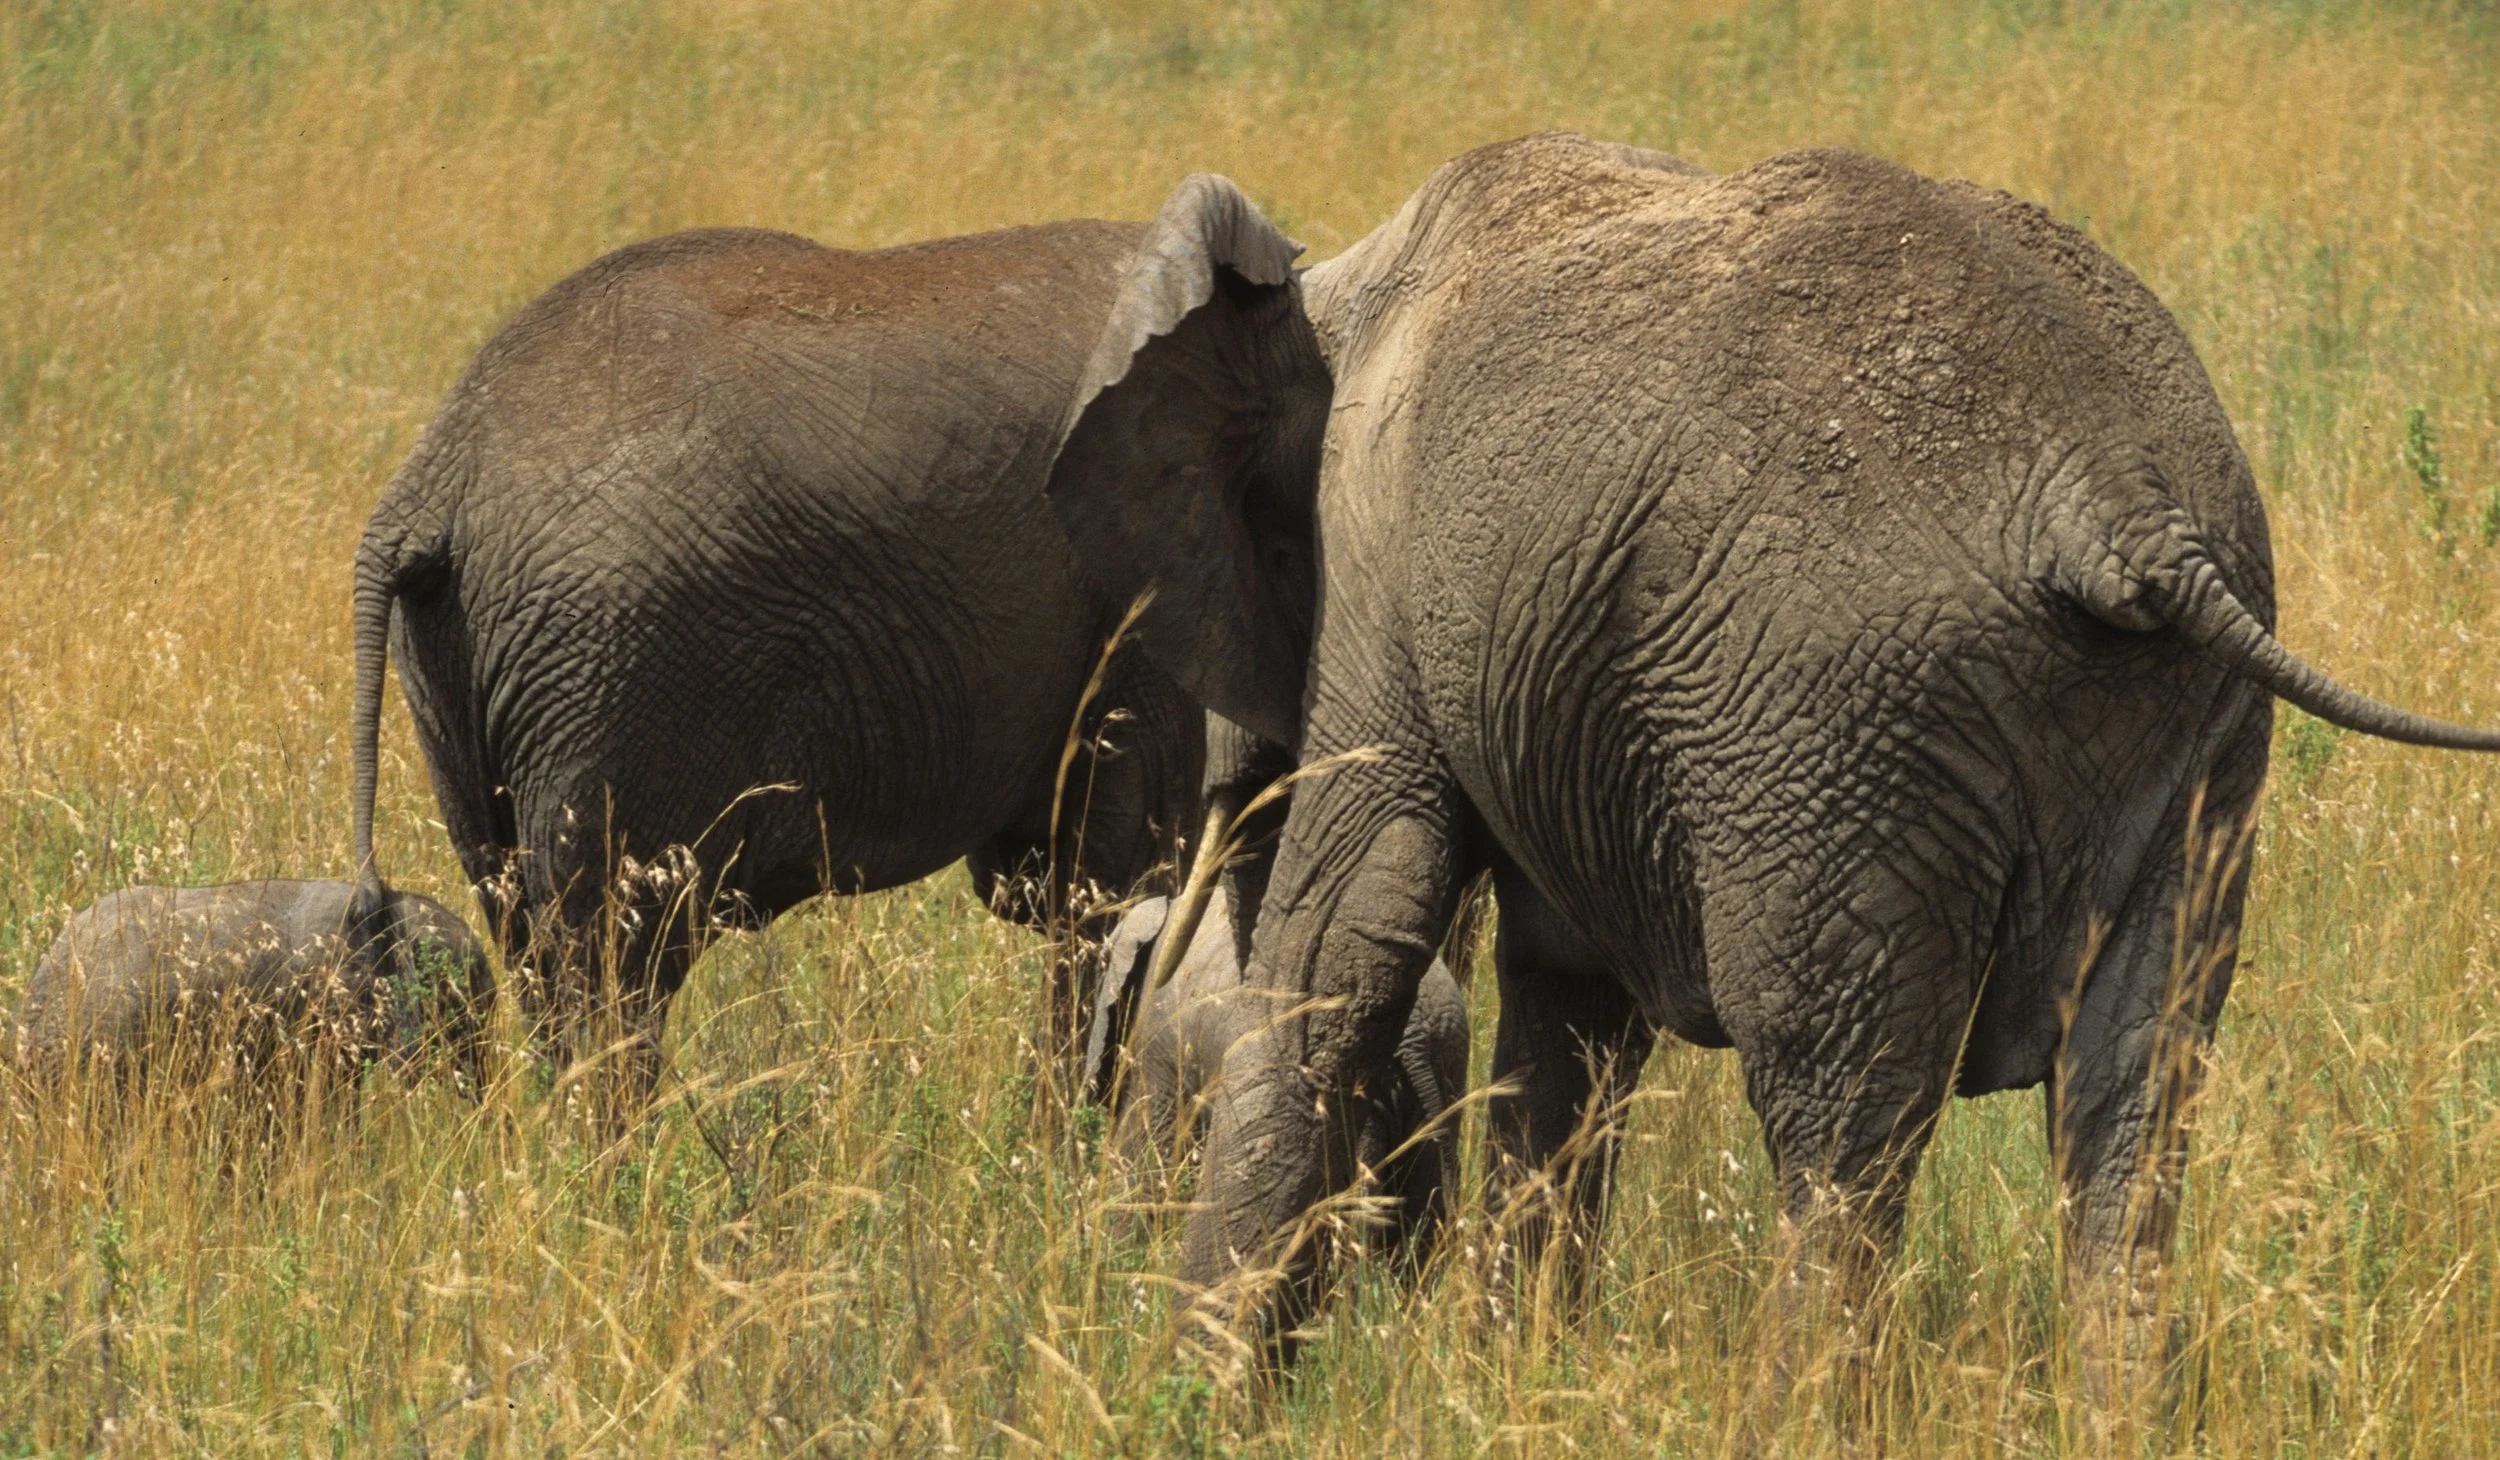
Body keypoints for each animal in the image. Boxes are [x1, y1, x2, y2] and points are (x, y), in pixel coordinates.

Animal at [350, 220, 1212, 1098]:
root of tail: (433, 483)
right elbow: (1118, 885)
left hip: (465, 676)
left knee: (530, 940)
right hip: (616, 670)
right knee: (614, 971)